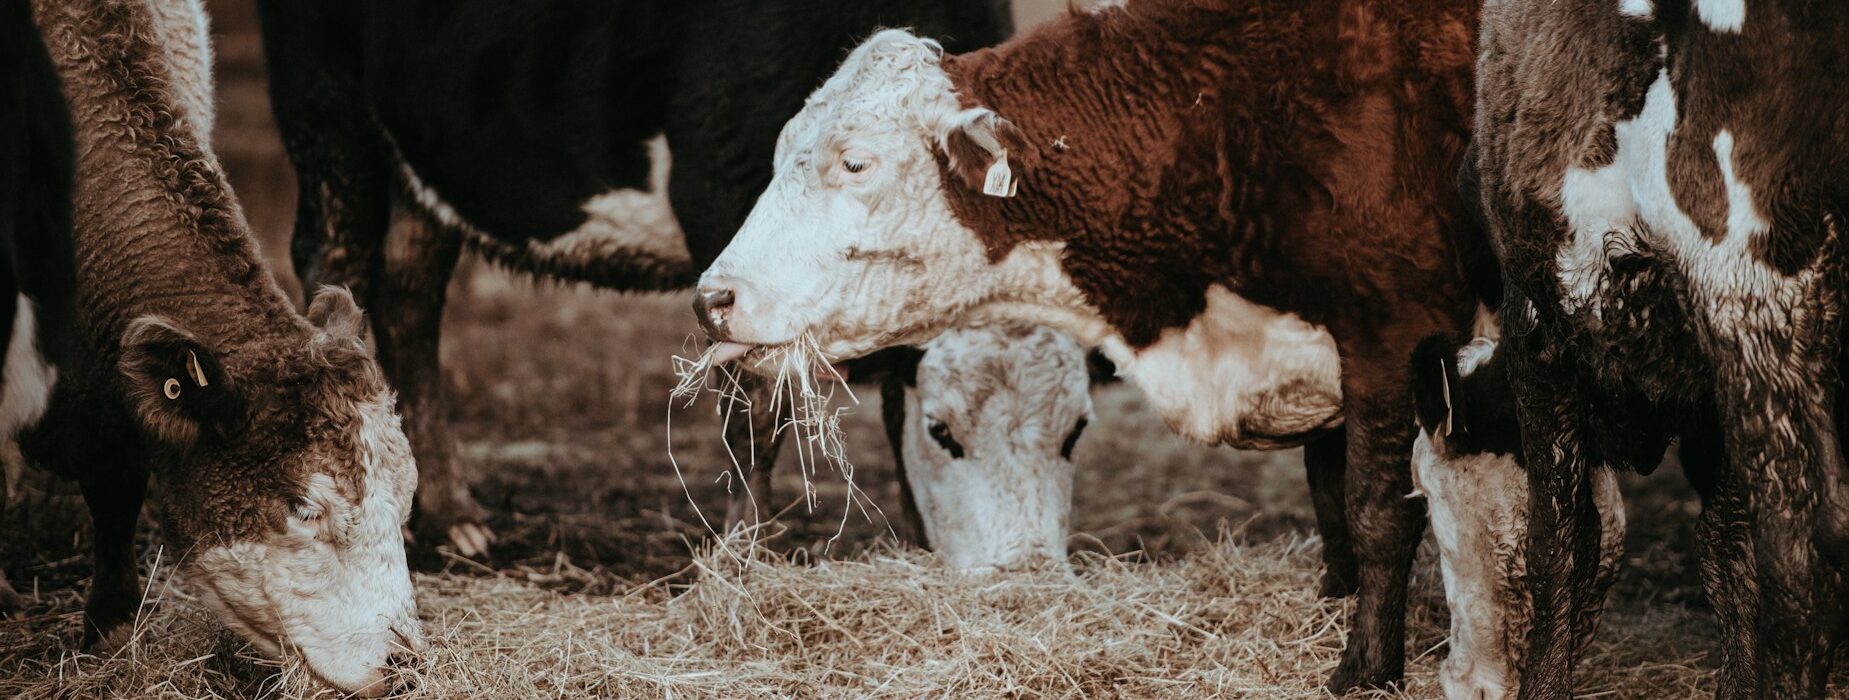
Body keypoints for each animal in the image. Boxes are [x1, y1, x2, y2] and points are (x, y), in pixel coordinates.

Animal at [257, 0, 1013, 557]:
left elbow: (897, 399)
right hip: (327, 115)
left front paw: (921, 538)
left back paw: (450, 516)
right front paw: (742, 552)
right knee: (334, 264)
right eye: (849, 160)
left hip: (420, 167)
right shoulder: (722, 201)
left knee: (410, 294)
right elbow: (753, 405)